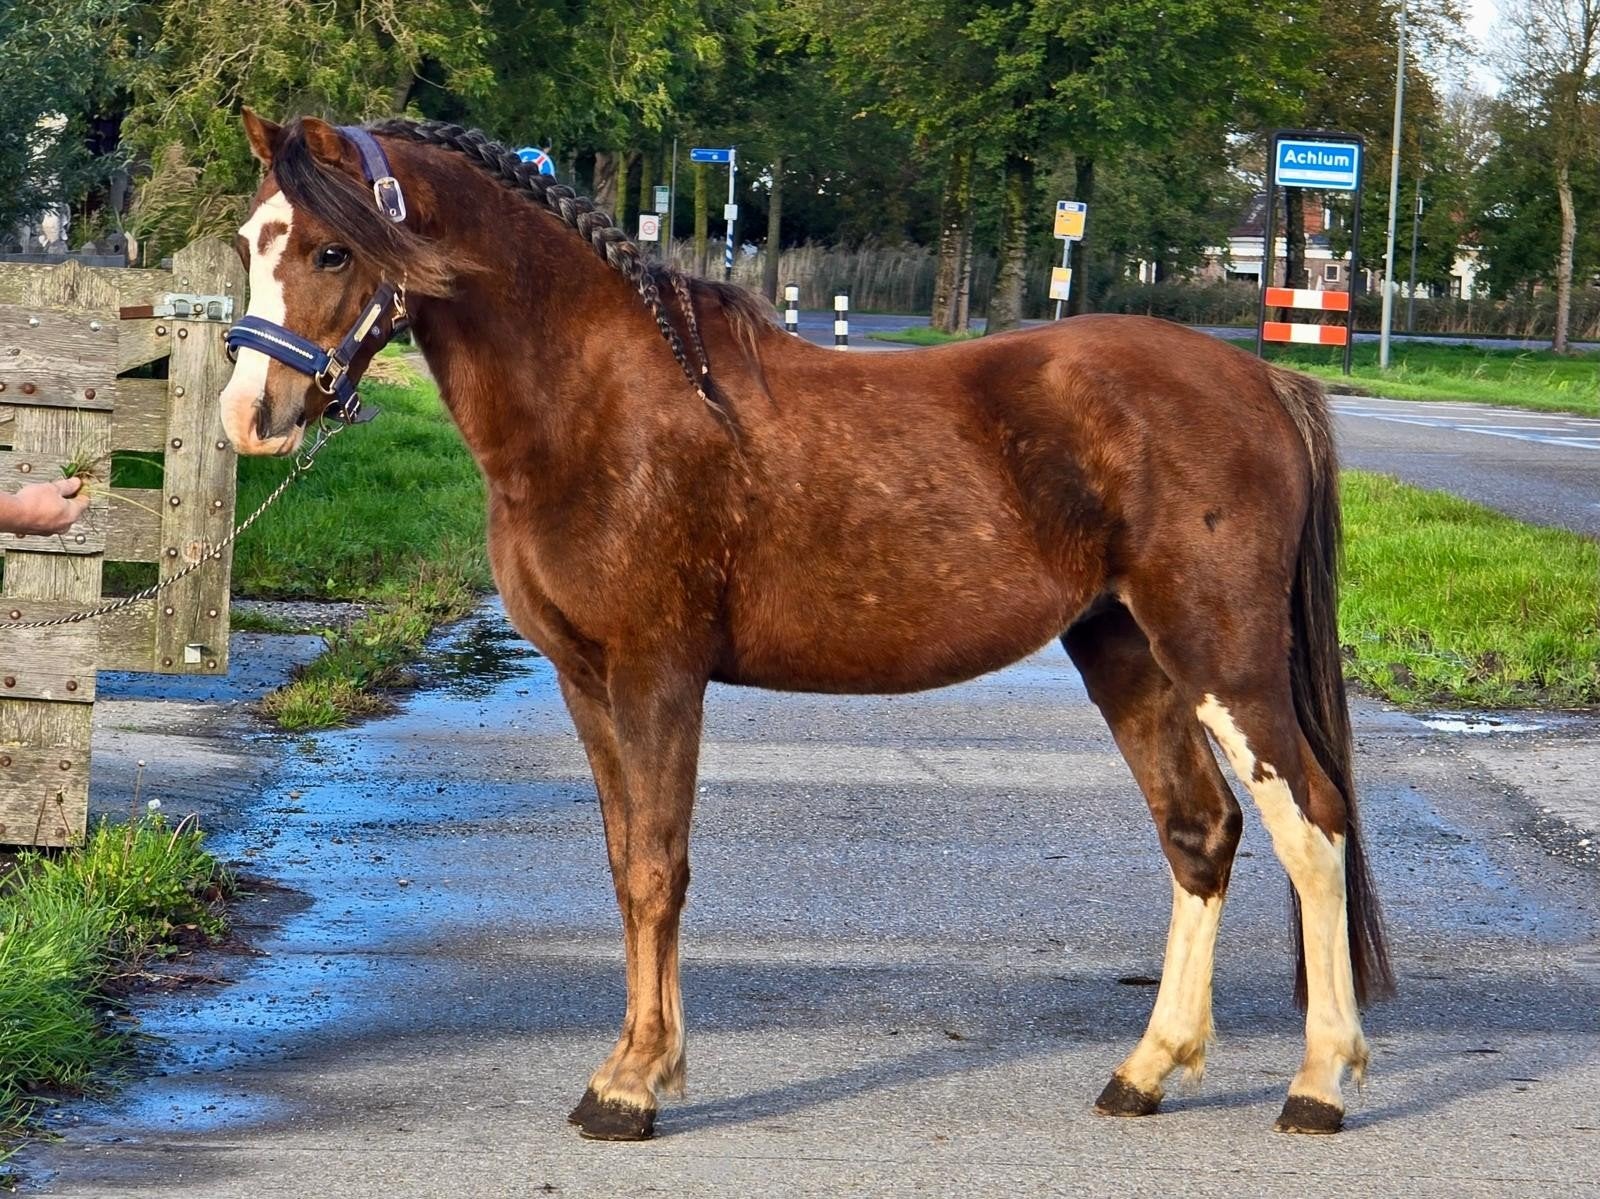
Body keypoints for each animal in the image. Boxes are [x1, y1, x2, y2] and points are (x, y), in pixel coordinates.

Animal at [219, 111, 1394, 1142]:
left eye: (331, 248)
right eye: (246, 242)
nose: (248, 418)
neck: (599, 405)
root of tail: (1262, 377)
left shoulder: (657, 673)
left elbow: (658, 867)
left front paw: (634, 1086)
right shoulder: (584, 680)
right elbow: (624, 864)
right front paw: (630, 1066)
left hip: (1222, 656)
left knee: (1312, 822)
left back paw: (1319, 1083)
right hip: (1127, 653)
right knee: (1199, 831)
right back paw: (1146, 1071)